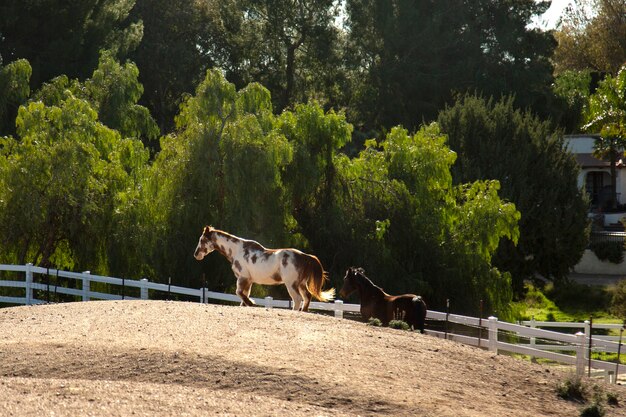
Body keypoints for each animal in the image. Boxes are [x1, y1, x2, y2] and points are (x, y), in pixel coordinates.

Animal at [193, 226, 334, 310]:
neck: (237, 250)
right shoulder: (248, 280)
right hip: (301, 284)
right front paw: (246, 304)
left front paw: (251, 303)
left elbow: (239, 293)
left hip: (291, 284)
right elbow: (244, 294)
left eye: (202, 240)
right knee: (307, 297)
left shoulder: (242, 277)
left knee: (298, 299)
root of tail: (305, 256)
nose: (196, 254)